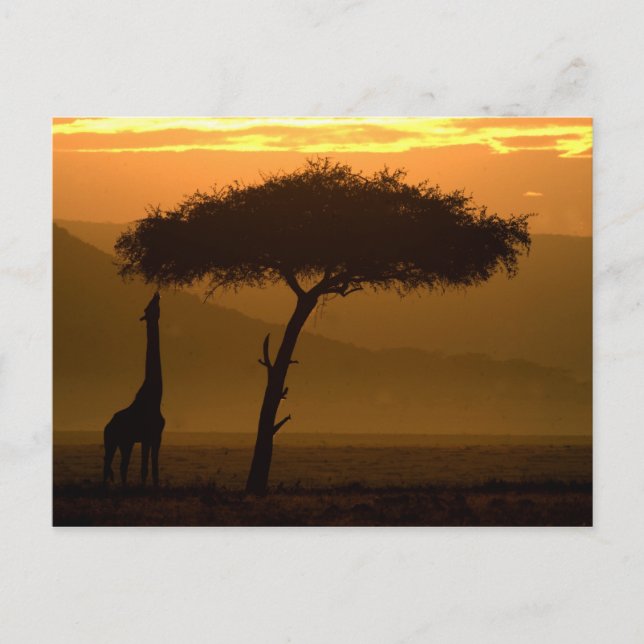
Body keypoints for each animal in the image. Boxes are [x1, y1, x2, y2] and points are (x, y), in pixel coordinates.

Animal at [103, 291, 165, 486]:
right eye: (148, 308)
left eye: (152, 305)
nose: (156, 294)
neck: (156, 398)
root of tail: (107, 425)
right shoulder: (145, 437)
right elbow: (144, 470)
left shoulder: (157, 437)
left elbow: (155, 470)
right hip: (112, 441)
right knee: (107, 466)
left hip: (125, 442)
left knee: (121, 466)